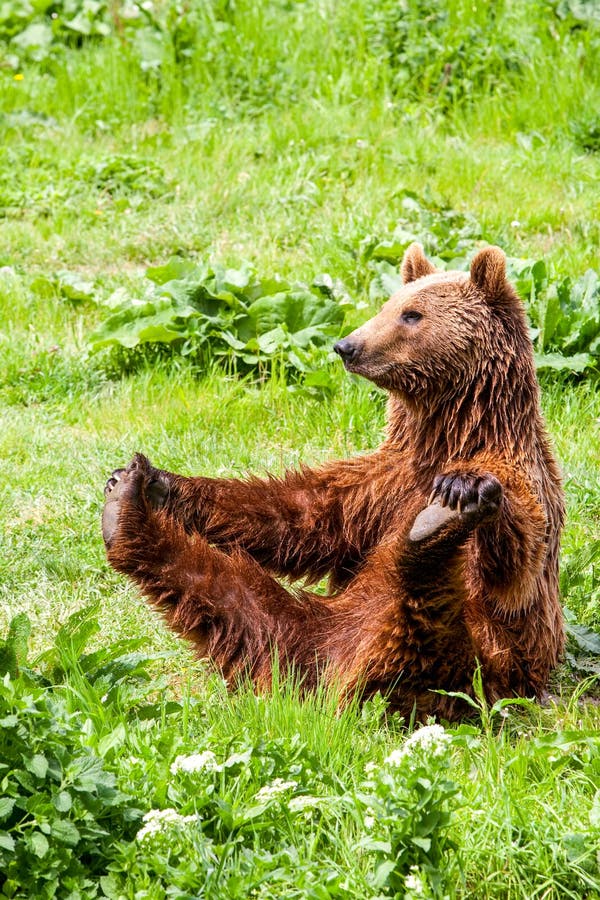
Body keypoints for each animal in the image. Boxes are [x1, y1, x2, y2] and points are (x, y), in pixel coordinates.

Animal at [101, 243, 564, 720]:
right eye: (387, 306)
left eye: (412, 314)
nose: (347, 346)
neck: (447, 436)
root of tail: (340, 682)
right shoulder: (383, 487)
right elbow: (303, 516)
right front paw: (156, 480)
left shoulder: (522, 478)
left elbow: (514, 560)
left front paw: (463, 488)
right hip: (306, 636)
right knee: (229, 599)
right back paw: (124, 509)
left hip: (468, 667)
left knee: (428, 617)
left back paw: (432, 527)